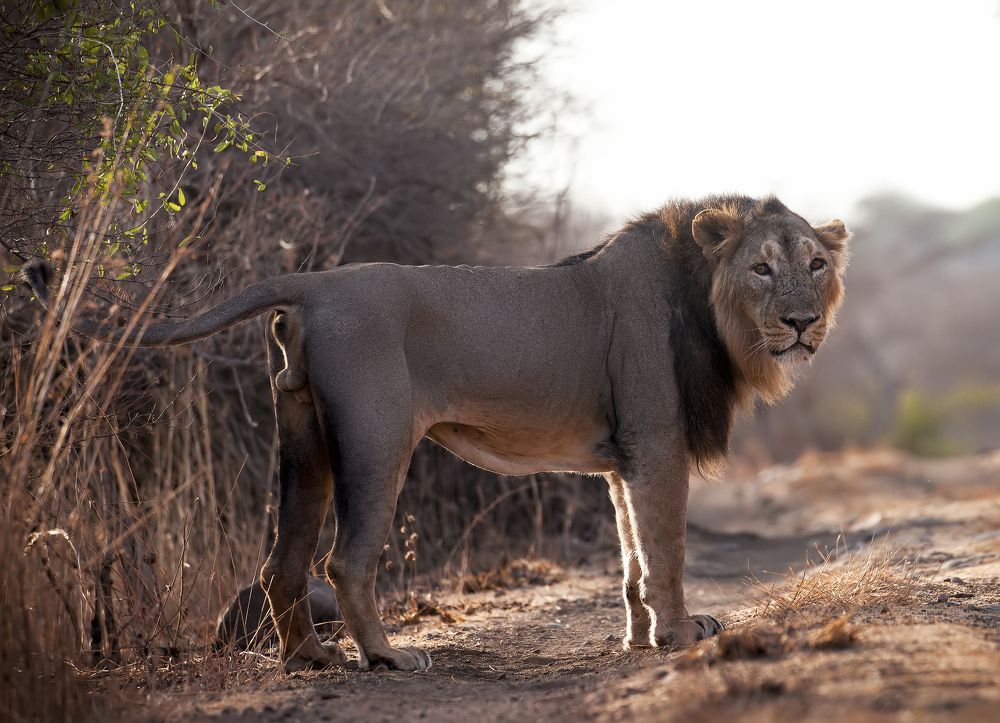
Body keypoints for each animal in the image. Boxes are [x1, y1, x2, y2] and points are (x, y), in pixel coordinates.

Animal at [24, 194, 850, 673]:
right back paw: (387, 656)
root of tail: (314, 283)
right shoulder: (655, 442)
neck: (710, 307)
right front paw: (680, 635)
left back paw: (311, 657)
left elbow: (631, 561)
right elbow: (665, 552)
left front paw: (638, 638)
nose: (803, 322)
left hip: (304, 443)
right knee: (344, 558)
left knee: (282, 562)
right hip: (377, 437)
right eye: (761, 268)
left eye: (816, 263)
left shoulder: (623, 457)